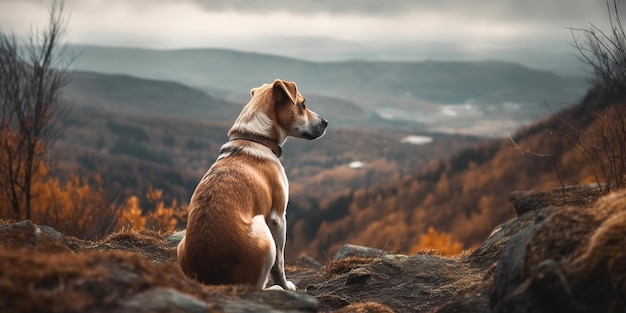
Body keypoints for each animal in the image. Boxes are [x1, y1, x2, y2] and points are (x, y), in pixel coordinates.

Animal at [176, 78, 326, 290]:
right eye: (303, 104)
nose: (326, 123)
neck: (254, 138)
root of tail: (212, 279)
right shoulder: (278, 217)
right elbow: (280, 263)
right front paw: (286, 286)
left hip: (180, 245)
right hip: (264, 233)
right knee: (257, 287)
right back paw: (275, 288)